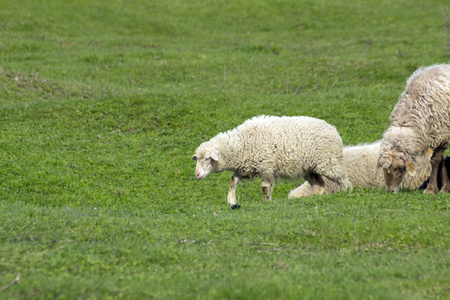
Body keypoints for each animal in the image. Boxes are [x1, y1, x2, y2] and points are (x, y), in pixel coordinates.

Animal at [192, 115, 354, 209]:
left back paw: (347, 192)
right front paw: (231, 200)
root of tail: (333, 129)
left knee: (343, 178)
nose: (197, 174)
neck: (240, 144)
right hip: (309, 168)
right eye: (197, 159)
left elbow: (265, 187)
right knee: (318, 183)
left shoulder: (266, 167)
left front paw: (267, 202)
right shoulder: (246, 167)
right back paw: (313, 198)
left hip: (328, 162)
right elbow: (233, 181)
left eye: (207, 158)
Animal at [378, 64, 450, 193]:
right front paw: (445, 188)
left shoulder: (443, 132)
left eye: (399, 167)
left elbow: (435, 160)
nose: (390, 191)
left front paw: (430, 189)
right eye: (382, 167)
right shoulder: (437, 134)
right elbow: (441, 160)